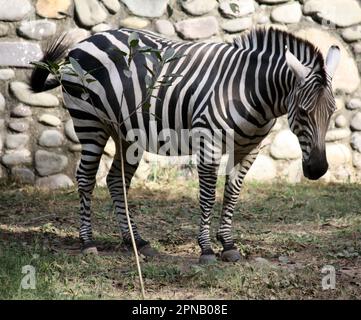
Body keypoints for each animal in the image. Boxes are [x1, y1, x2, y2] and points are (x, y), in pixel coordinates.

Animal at [29, 26, 338, 262]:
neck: (251, 91)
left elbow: (232, 194)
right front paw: (206, 249)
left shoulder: (249, 149)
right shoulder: (208, 142)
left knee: (116, 180)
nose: (318, 169)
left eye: (332, 112)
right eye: (303, 112)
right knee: (85, 178)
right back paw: (88, 242)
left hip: (126, 133)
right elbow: (207, 195)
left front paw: (228, 245)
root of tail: (85, 40)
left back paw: (136, 241)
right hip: (89, 122)